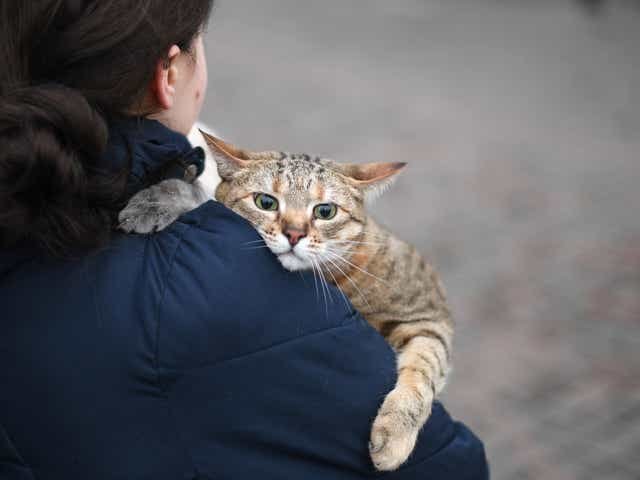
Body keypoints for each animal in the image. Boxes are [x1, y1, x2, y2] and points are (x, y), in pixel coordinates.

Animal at [117, 132, 452, 472]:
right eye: (265, 202)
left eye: (325, 211)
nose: (293, 234)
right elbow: (202, 198)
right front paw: (157, 200)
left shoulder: (428, 316)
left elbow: (423, 371)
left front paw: (395, 432)